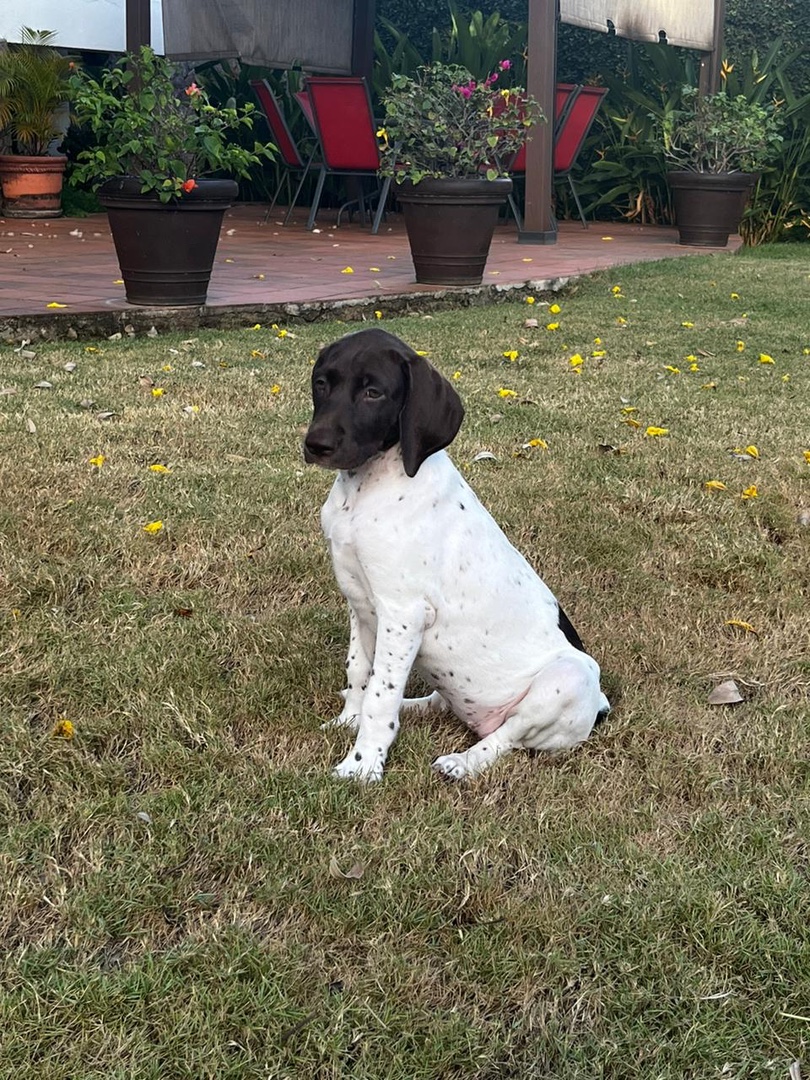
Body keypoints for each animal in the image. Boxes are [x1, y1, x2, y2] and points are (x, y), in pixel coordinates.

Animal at [304, 324, 609, 781]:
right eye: (322, 383)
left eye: (374, 393)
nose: (316, 444)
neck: (363, 492)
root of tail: (602, 705)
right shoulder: (359, 602)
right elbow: (361, 671)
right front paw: (348, 721)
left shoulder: (403, 614)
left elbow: (380, 696)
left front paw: (362, 766)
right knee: (441, 702)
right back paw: (414, 709)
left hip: (570, 678)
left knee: (507, 736)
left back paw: (463, 762)